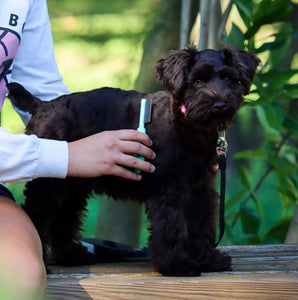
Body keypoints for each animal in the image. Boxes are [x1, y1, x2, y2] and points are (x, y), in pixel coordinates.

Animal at [7, 45, 258, 276]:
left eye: (228, 78)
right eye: (197, 81)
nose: (219, 105)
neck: (190, 127)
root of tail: (42, 105)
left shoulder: (200, 189)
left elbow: (202, 224)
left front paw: (208, 259)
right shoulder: (168, 189)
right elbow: (171, 227)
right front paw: (177, 264)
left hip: (73, 185)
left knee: (64, 219)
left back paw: (72, 255)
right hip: (48, 184)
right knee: (37, 215)